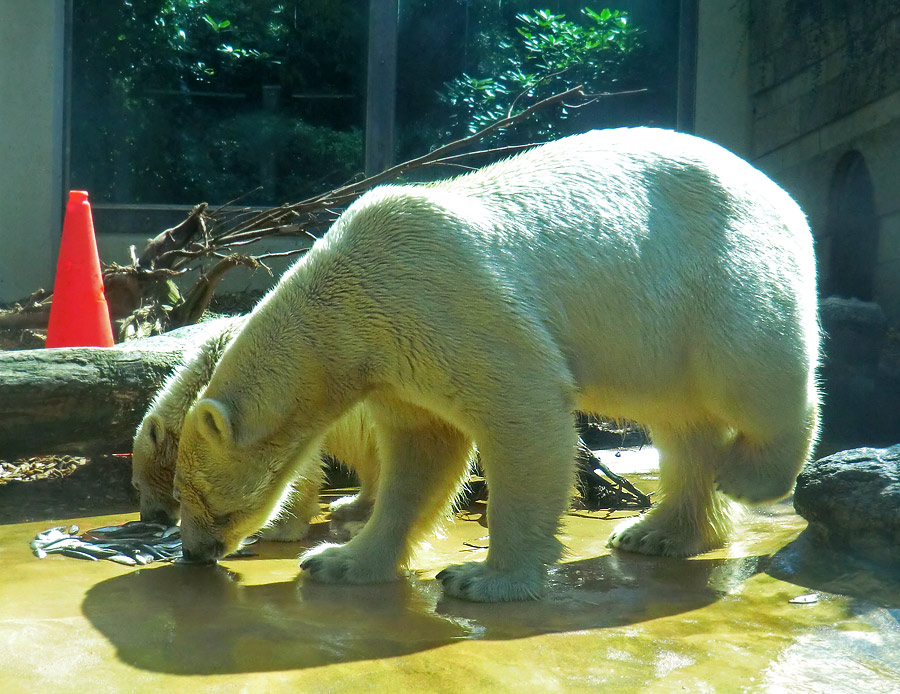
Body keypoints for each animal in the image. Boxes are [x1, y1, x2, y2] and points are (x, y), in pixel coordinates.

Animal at [172, 129, 820, 604]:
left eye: (195, 495)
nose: (194, 553)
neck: (342, 302)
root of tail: (781, 193)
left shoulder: (444, 301)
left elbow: (522, 411)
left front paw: (481, 579)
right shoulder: (393, 360)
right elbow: (422, 452)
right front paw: (337, 560)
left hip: (718, 271)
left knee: (750, 367)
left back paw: (750, 475)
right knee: (680, 421)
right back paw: (657, 531)